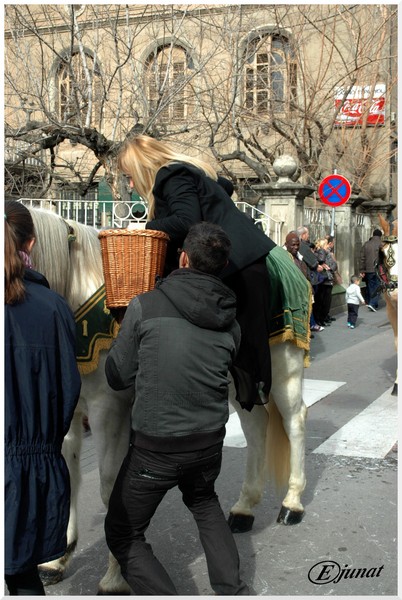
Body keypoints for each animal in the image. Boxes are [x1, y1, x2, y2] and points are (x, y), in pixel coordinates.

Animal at [28, 206, 309, 595]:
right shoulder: (68, 411)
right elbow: (67, 474)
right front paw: (56, 559)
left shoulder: (107, 410)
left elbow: (109, 486)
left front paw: (114, 577)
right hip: (239, 379)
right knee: (256, 427)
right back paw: (243, 509)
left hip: (283, 368)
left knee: (295, 422)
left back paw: (292, 503)